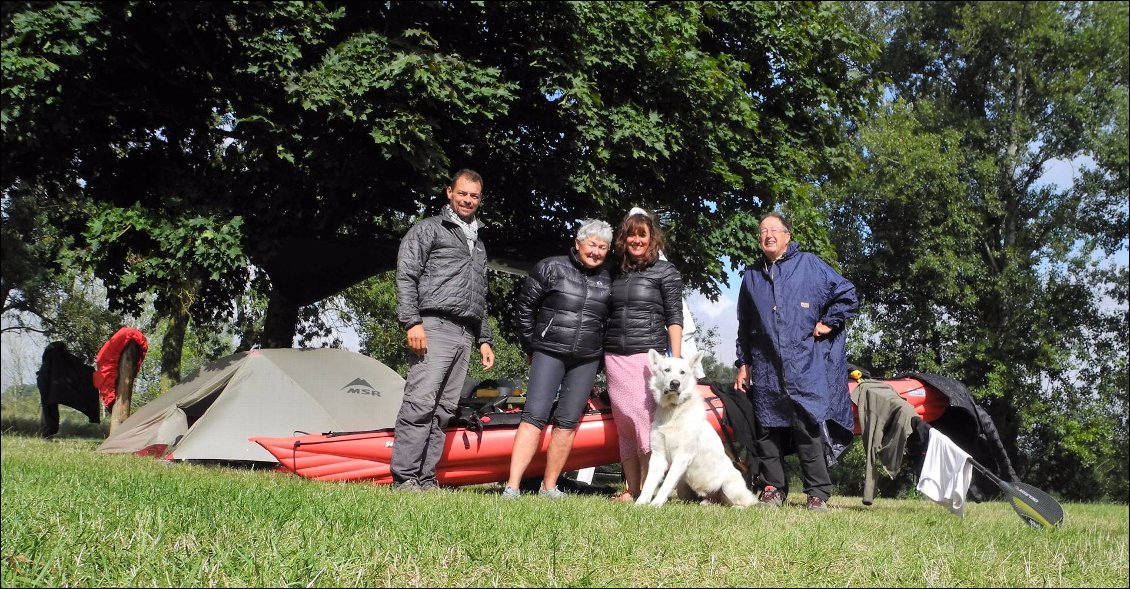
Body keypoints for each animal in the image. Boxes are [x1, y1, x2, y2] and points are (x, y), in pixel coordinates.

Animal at [637, 345, 759, 506]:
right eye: (667, 370)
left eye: (682, 372)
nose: (675, 383)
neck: (673, 411)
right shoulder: (658, 455)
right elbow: (648, 483)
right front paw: (640, 504)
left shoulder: (682, 456)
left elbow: (666, 483)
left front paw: (656, 504)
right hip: (683, 487)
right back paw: (706, 503)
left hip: (729, 487)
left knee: (746, 504)